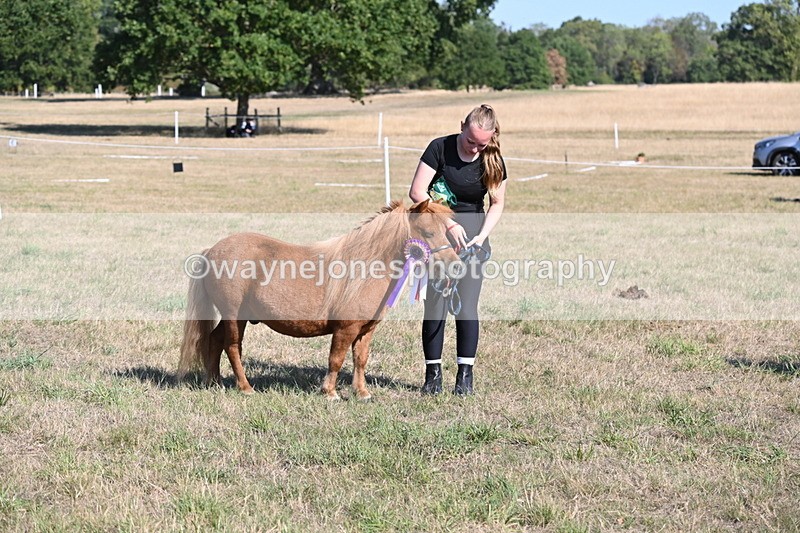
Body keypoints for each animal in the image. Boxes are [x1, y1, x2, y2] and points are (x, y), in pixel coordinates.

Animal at [178, 199, 461, 400]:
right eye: (427, 232)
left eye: (446, 232)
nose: (456, 266)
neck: (365, 268)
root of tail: (212, 251)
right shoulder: (345, 329)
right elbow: (336, 358)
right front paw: (330, 392)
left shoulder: (365, 331)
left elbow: (360, 360)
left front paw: (362, 393)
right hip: (234, 317)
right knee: (232, 347)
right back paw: (245, 387)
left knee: (214, 340)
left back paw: (214, 382)